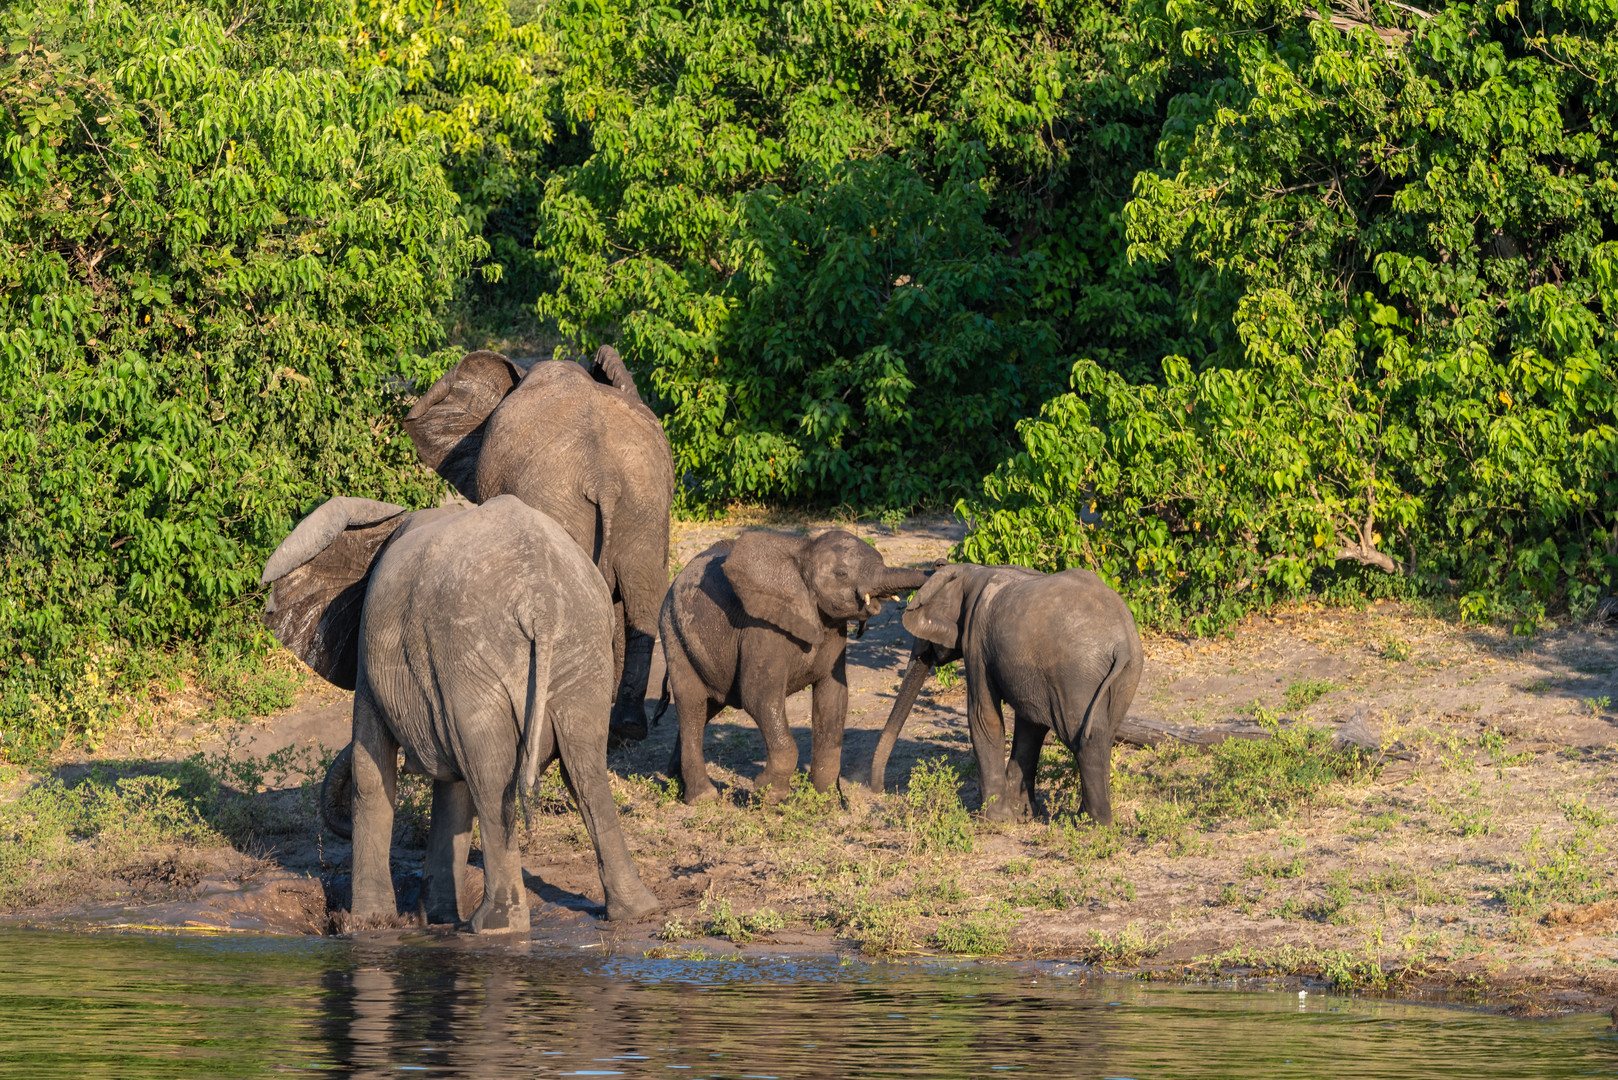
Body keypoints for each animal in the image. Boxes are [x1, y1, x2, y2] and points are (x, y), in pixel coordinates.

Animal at [258, 492, 656, 932]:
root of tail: (541, 601)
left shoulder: (371, 655)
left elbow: (371, 770)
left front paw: (368, 924)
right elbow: (453, 789)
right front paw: (432, 921)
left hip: (471, 651)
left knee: (492, 776)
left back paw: (496, 926)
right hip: (581, 646)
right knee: (582, 766)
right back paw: (634, 911)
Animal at [656, 527, 931, 806]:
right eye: (841, 574)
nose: (939, 565)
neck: (803, 553)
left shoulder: (832, 629)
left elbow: (832, 699)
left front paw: (829, 802)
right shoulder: (763, 628)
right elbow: (759, 698)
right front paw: (768, 796)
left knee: (708, 707)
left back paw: (674, 778)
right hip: (673, 631)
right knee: (692, 705)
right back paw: (702, 797)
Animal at [867, 563, 1145, 822]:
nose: (879, 790)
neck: (969, 570)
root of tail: (1121, 643)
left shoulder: (976, 640)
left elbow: (983, 716)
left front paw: (996, 820)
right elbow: (1031, 725)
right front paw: (1024, 816)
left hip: (1076, 674)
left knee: (1085, 738)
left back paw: (1090, 825)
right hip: (1127, 675)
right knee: (1105, 734)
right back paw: (1085, 820)